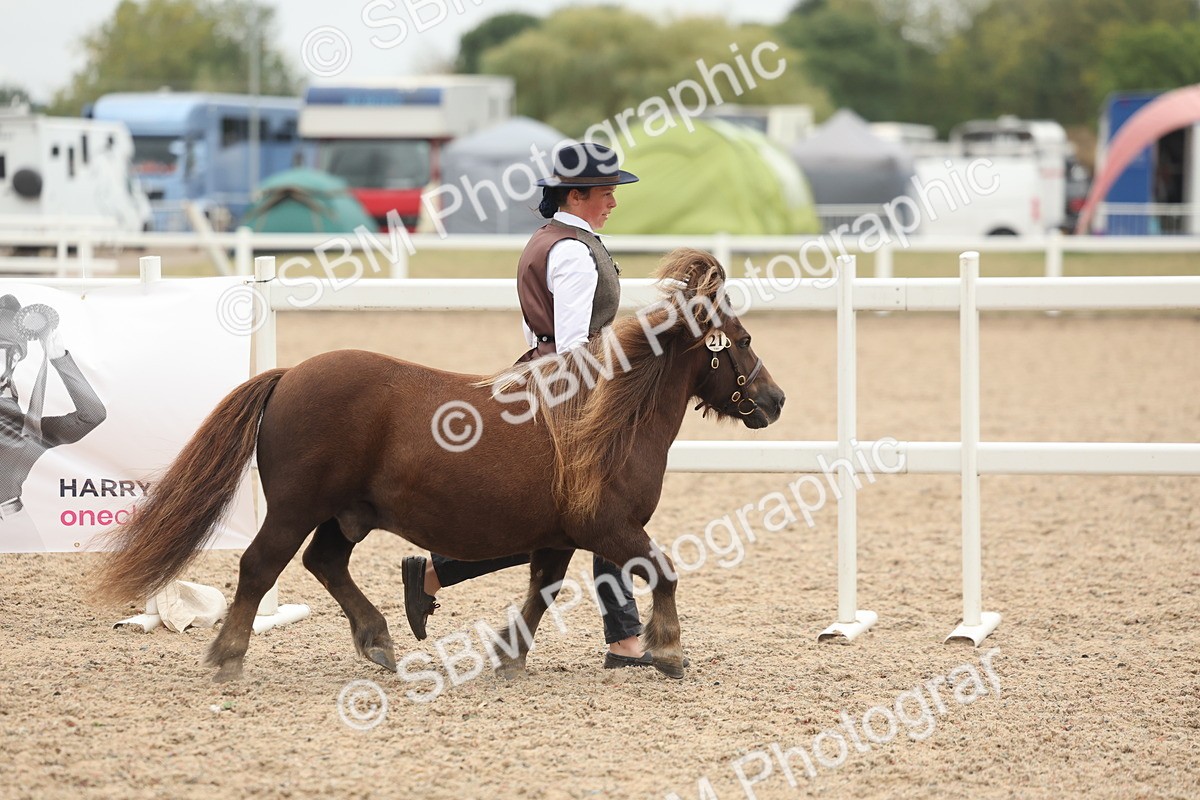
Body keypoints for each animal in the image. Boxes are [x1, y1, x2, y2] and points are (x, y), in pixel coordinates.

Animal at [92, 248, 786, 682]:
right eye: (744, 340)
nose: (775, 400)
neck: (606, 419)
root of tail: (290, 375)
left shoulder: (560, 537)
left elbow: (542, 592)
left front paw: (509, 656)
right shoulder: (610, 528)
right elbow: (662, 573)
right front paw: (667, 651)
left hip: (347, 515)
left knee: (325, 563)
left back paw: (379, 638)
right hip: (295, 508)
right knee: (261, 567)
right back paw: (230, 655)